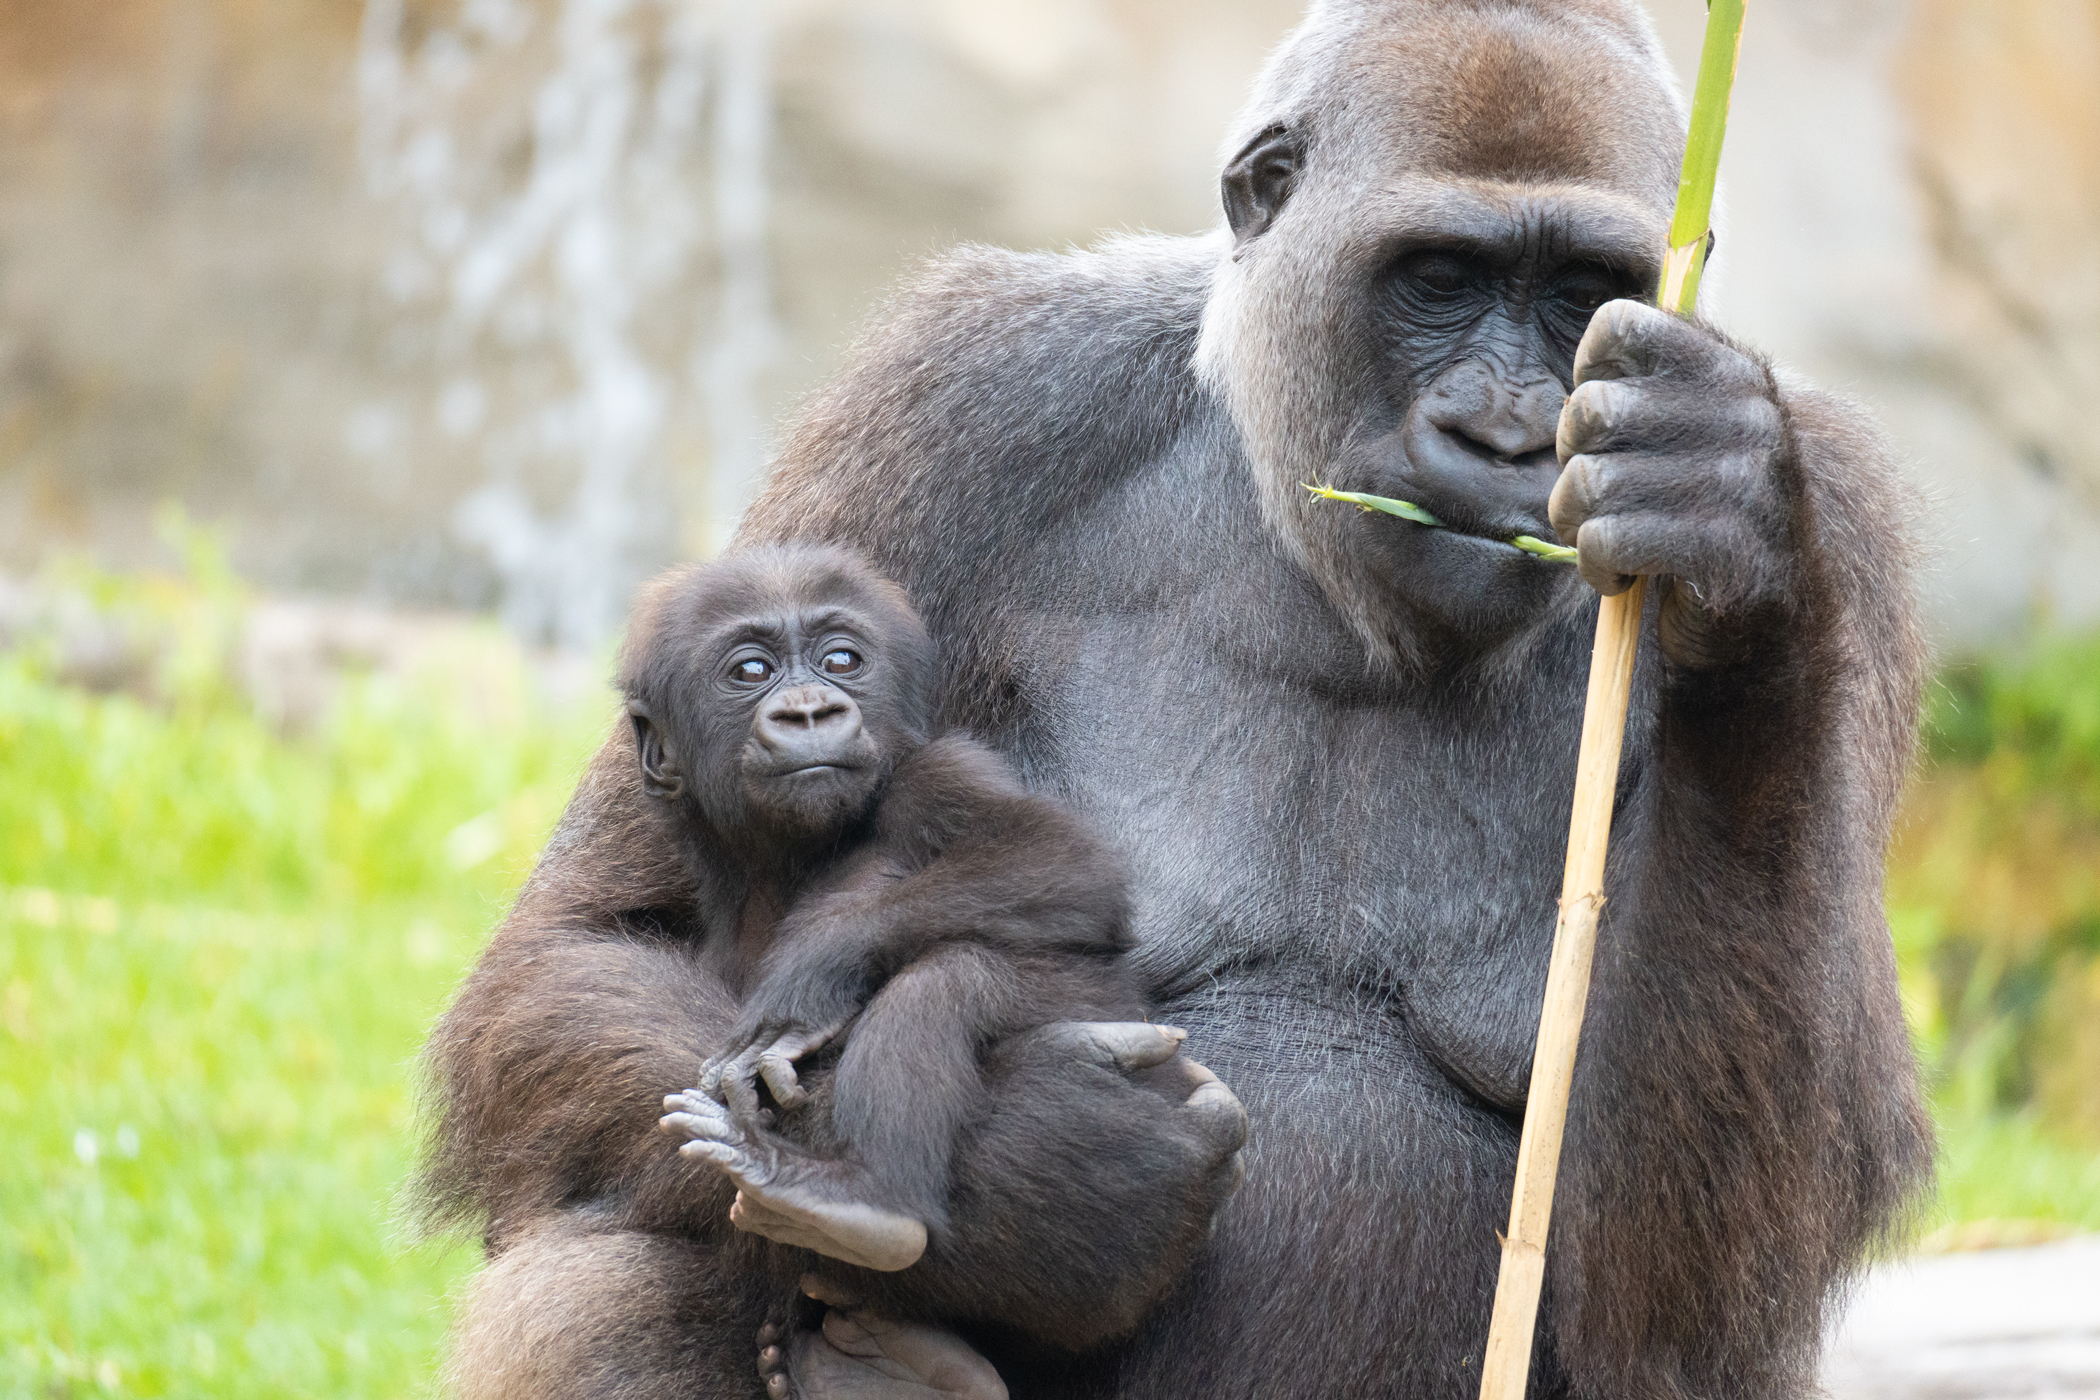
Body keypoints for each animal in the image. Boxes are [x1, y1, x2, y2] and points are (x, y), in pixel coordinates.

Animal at [621, 545, 1167, 1284]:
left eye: (842, 660)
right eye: (752, 672)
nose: (811, 710)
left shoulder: (938, 771)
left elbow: (1065, 861)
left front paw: (807, 981)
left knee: (949, 982)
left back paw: (865, 1200)